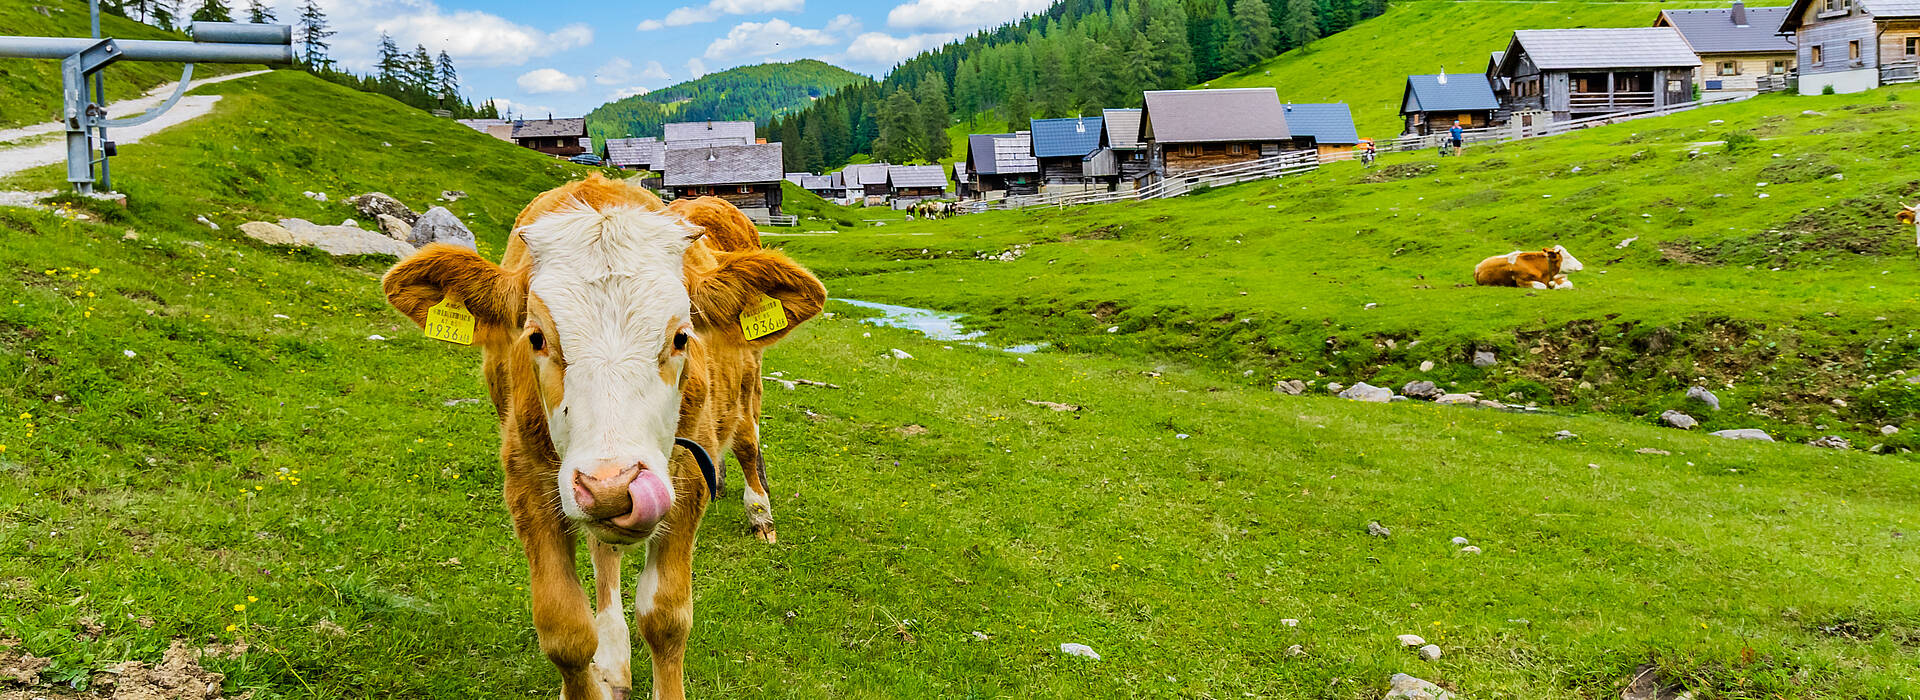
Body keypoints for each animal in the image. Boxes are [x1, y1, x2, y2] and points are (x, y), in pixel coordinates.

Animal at [378, 174, 821, 698]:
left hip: (748, 374)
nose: (613, 488)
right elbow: (565, 630)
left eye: (681, 336)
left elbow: (666, 617)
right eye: (535, 337)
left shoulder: (688, 474)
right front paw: (596, 667)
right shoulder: (528, 482)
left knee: (749, 440)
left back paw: (759, 513)